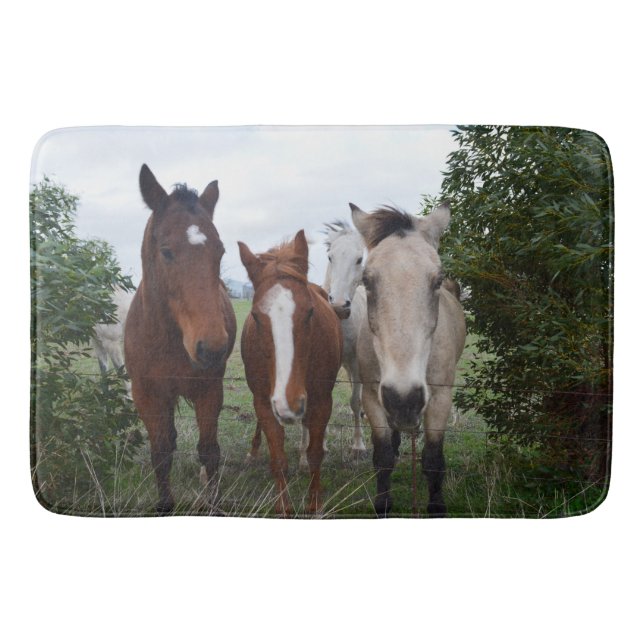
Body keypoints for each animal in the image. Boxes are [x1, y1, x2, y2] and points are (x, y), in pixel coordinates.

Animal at [124, 164, 236, 514]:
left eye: (220, 251)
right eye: (167, 252)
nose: (211, 347)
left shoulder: (210, 390)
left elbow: (210, 451)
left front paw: (214, 503)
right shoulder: (147, 394)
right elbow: (161, 452)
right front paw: (164, 504)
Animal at [239, 230, 342, 515]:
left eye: (310, 312)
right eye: (256, 316)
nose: (289, 403)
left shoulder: (322, 401)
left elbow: (316, 453)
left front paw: (314, 503)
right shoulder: (264, 402)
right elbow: (278, 458)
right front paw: (284, 508)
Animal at [350, 202, 466, 517]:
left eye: (437, 280)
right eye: (366, 280)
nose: (405, 399)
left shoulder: (440, 399)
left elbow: (433, 459)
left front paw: (436, 508)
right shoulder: (373, 396)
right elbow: (382, 457)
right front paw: (383, 505)